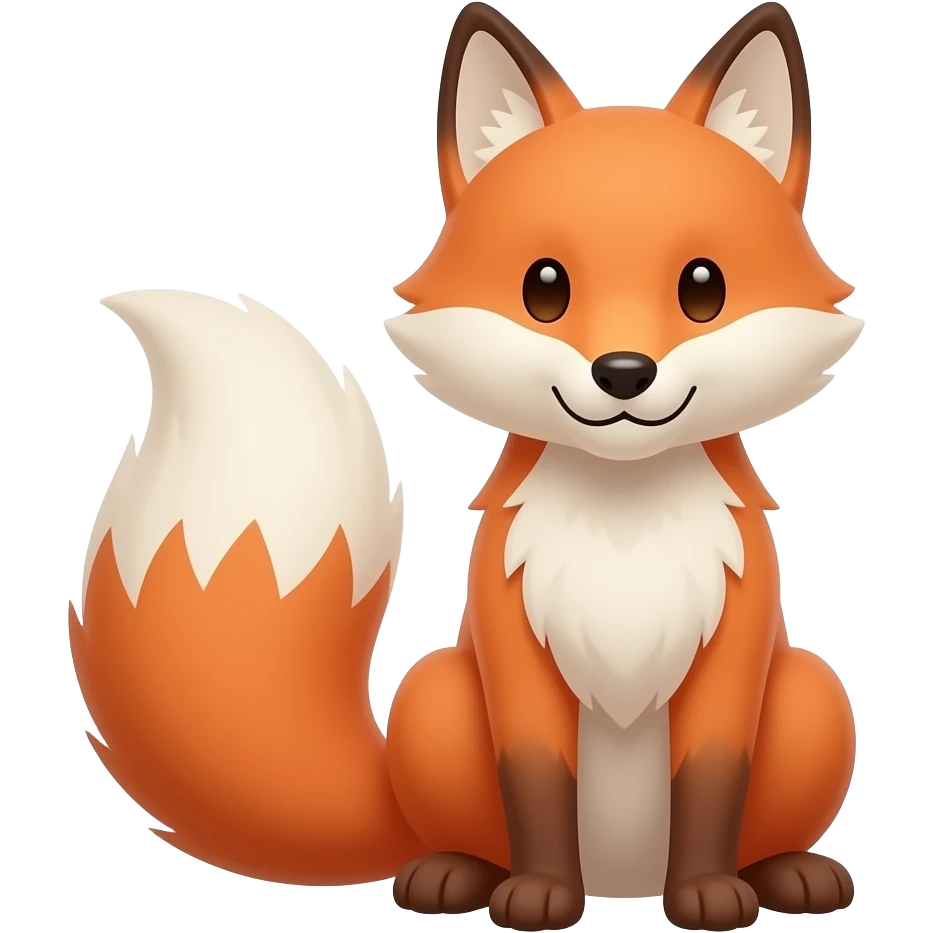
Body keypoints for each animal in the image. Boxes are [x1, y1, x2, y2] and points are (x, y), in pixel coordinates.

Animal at [71, 3, 863, 931]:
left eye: (702, 288)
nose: (623, 372)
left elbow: (709, 786)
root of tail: (623, 881)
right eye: (544, 288)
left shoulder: (730, 666)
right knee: (458, 835)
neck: (623, 529)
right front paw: (539, 895)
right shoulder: (512, 660)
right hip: (436, 692)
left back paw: (786, 873)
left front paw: (705, 894)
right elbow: (535, 785)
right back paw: (456, 874)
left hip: (813, 692)